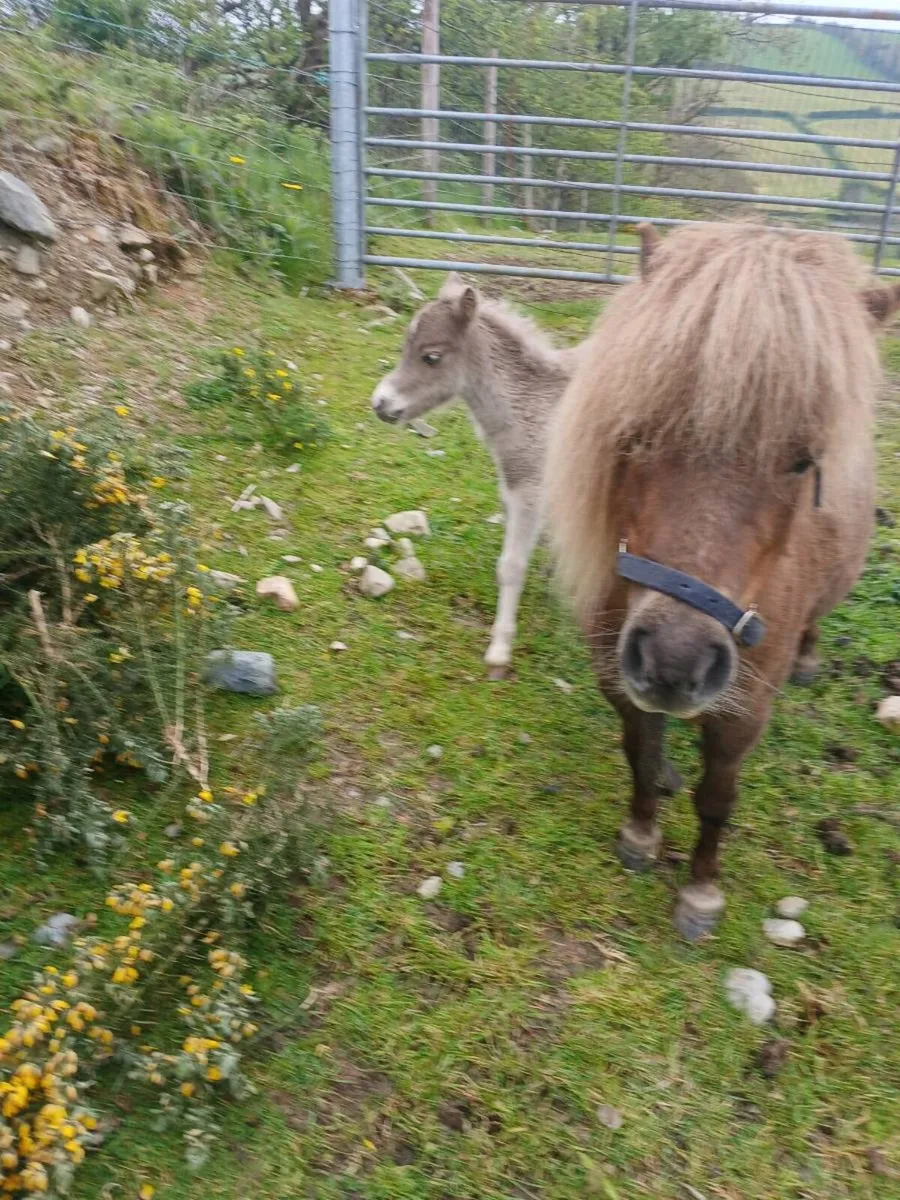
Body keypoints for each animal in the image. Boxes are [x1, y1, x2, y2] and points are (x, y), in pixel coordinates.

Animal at [371, 273, 586, 678]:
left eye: (432, 356)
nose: (380, 404)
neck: (531, 407)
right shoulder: (516, 487)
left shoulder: (530, 491)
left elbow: (512, 566)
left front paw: (499, 652)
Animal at [545, 221, 898, 939]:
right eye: (638, 432)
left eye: (803, 462)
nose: (676, 661)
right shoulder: (621, 680)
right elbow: (640, 754)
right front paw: (642, 835)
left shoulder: (744, 712)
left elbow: (717, 798)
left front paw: (700, 892)